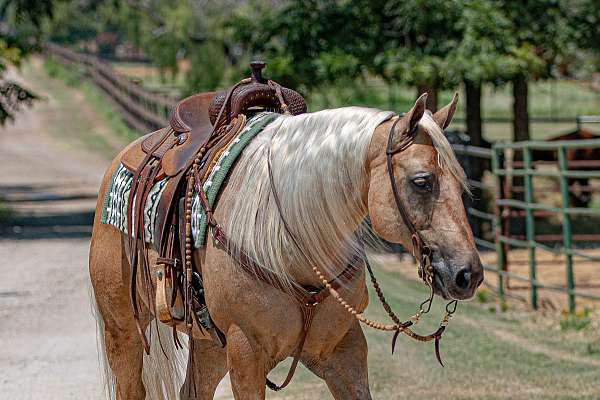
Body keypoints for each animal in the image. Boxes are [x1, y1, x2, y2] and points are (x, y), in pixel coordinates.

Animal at [88, 92, 482, 398]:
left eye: (461, 184)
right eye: (422, 181)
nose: (469, 274)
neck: (293, 244)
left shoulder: (343, 350)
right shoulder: (246, 355)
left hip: (209, 342)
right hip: (123, 329)